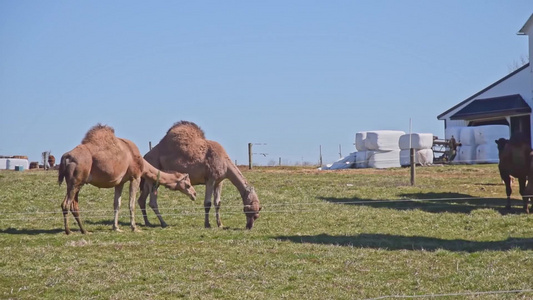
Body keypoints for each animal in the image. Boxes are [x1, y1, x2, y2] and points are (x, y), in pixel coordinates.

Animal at [56, 124, 197, 234]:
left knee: (73, 205)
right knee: (66, 204)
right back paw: (68, 231)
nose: (194, 194)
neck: (142, 163)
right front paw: (134, 228)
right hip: (76, 181)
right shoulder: (135, 177)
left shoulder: (120, 182)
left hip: (75, 183)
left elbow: (116, 204)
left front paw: (116, 227)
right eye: (188, 184)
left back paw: (84, 230)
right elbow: (131, 203)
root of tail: (66, 157)